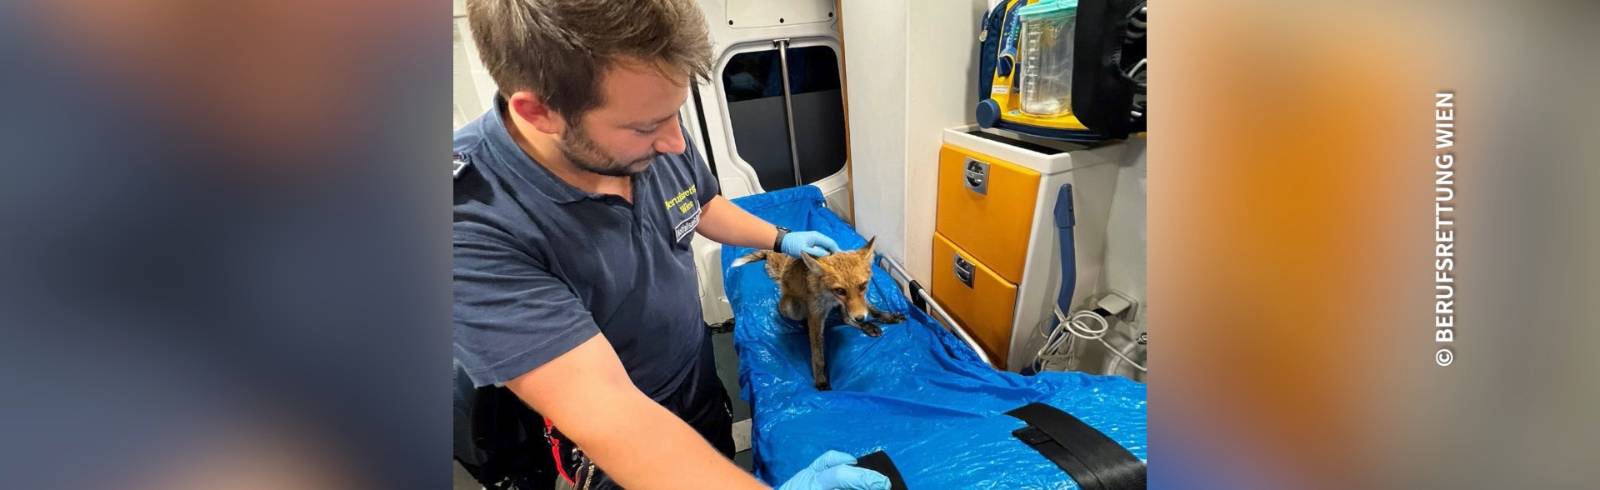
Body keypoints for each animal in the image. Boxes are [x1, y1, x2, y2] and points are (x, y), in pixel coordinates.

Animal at [733, 237, 904, 390]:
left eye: (863, 286)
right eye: (840, 290)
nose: (861, 317)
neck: (830, 298)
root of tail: (784, 273)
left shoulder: (855, 304)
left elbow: (872, 310)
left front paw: (887, 317)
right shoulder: (816, 315)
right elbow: (817, 355)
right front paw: (821, 379)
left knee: (845, 318)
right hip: (792, 308)